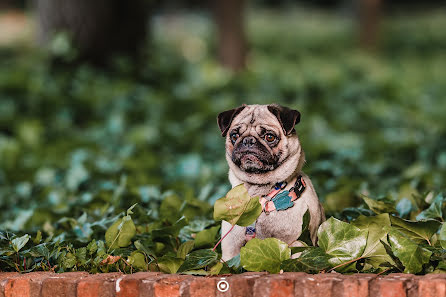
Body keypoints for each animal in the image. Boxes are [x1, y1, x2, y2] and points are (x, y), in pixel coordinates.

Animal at [219, 103, 326, 260]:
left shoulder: (298, 242)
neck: (258, 192)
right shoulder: (230, 251)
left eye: (269, 137)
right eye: (234, 136)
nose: (248, 140)